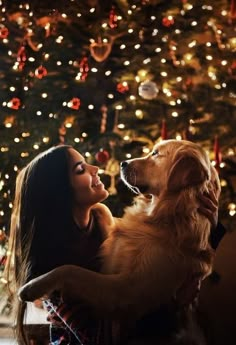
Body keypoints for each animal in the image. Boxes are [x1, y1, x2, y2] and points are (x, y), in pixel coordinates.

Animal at [19, 138, 220, 342]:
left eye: (156, 154)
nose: (123, 163)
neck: (165, 217)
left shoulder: (127, 290)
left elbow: (71, 270)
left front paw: (33, 286)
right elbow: (107, 216)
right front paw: (98, 207)